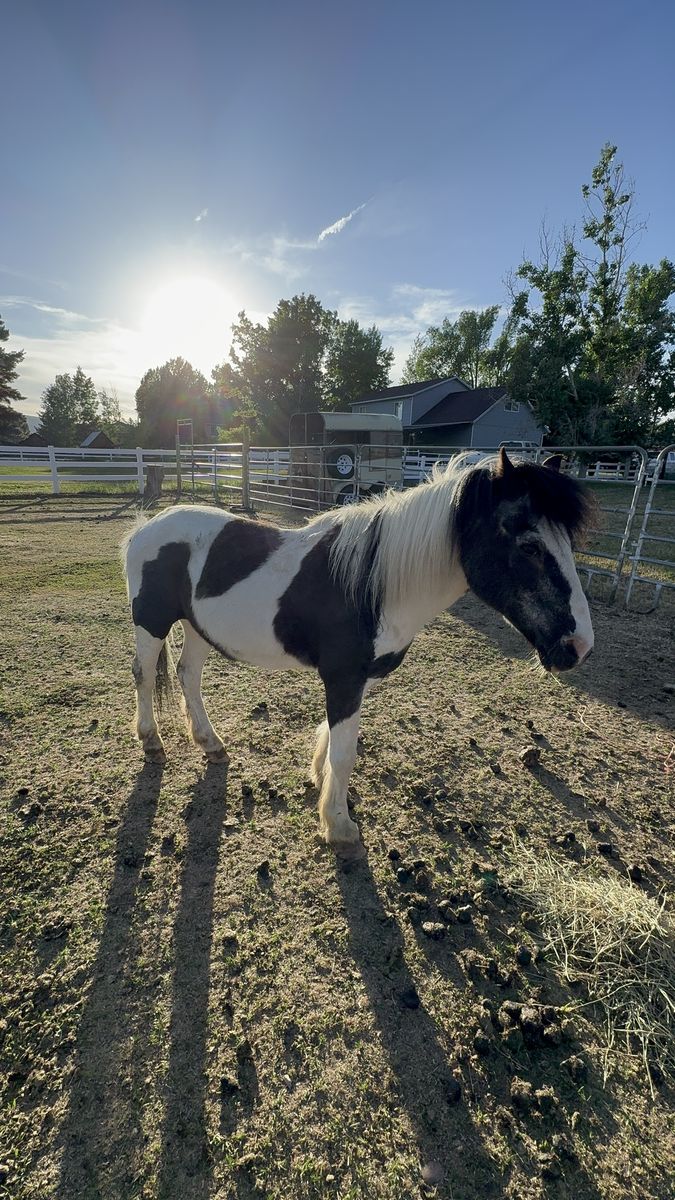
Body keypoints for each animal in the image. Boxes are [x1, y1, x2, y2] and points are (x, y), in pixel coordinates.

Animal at [121, 449, 595, 856]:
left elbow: (336, 740)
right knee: (143, 673)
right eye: (529, 546)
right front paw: (339, 825)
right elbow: (345, 752)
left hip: (198, 627)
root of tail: (147, 526)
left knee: (188, 675)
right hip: (151, 623)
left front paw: (321, 782)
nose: (579, 647)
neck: (375, 585)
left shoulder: (357, 678)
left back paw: (210, 742)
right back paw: (151, 741)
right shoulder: (343, 677)